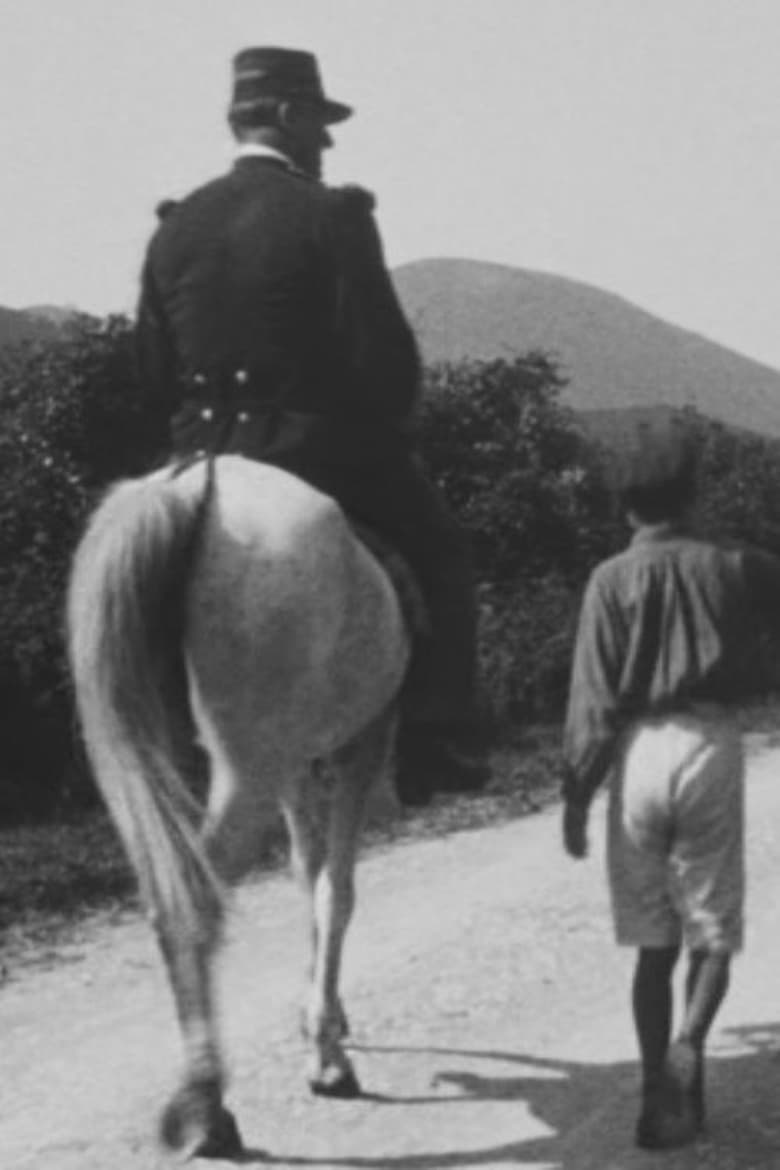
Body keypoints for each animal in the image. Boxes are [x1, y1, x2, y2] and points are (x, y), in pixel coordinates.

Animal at [66, 453, 412, 1159]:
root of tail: (193, 483)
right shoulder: (359, 749)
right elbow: (335, 891)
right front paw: (326, 1054)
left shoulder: (295, 768)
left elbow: (307, 877)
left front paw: (321, 1016)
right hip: (248, 773)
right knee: (192, 897)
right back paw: (207, 1107)